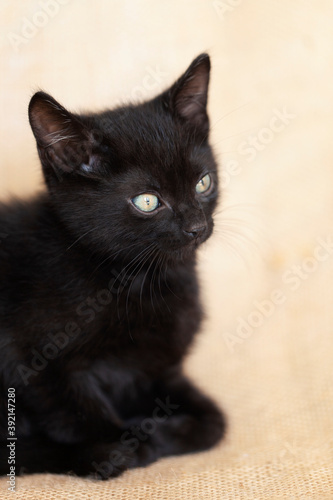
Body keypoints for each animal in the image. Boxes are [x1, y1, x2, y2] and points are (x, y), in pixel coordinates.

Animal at [0, 52, 224, 478]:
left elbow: (215, 422)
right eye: (148, 201)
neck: (134, 279)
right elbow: (78, 412)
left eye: (203, 183)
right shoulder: (30, 356)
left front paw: (170, 428)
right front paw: (134, 439)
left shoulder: (159, 366)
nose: (197, 227)